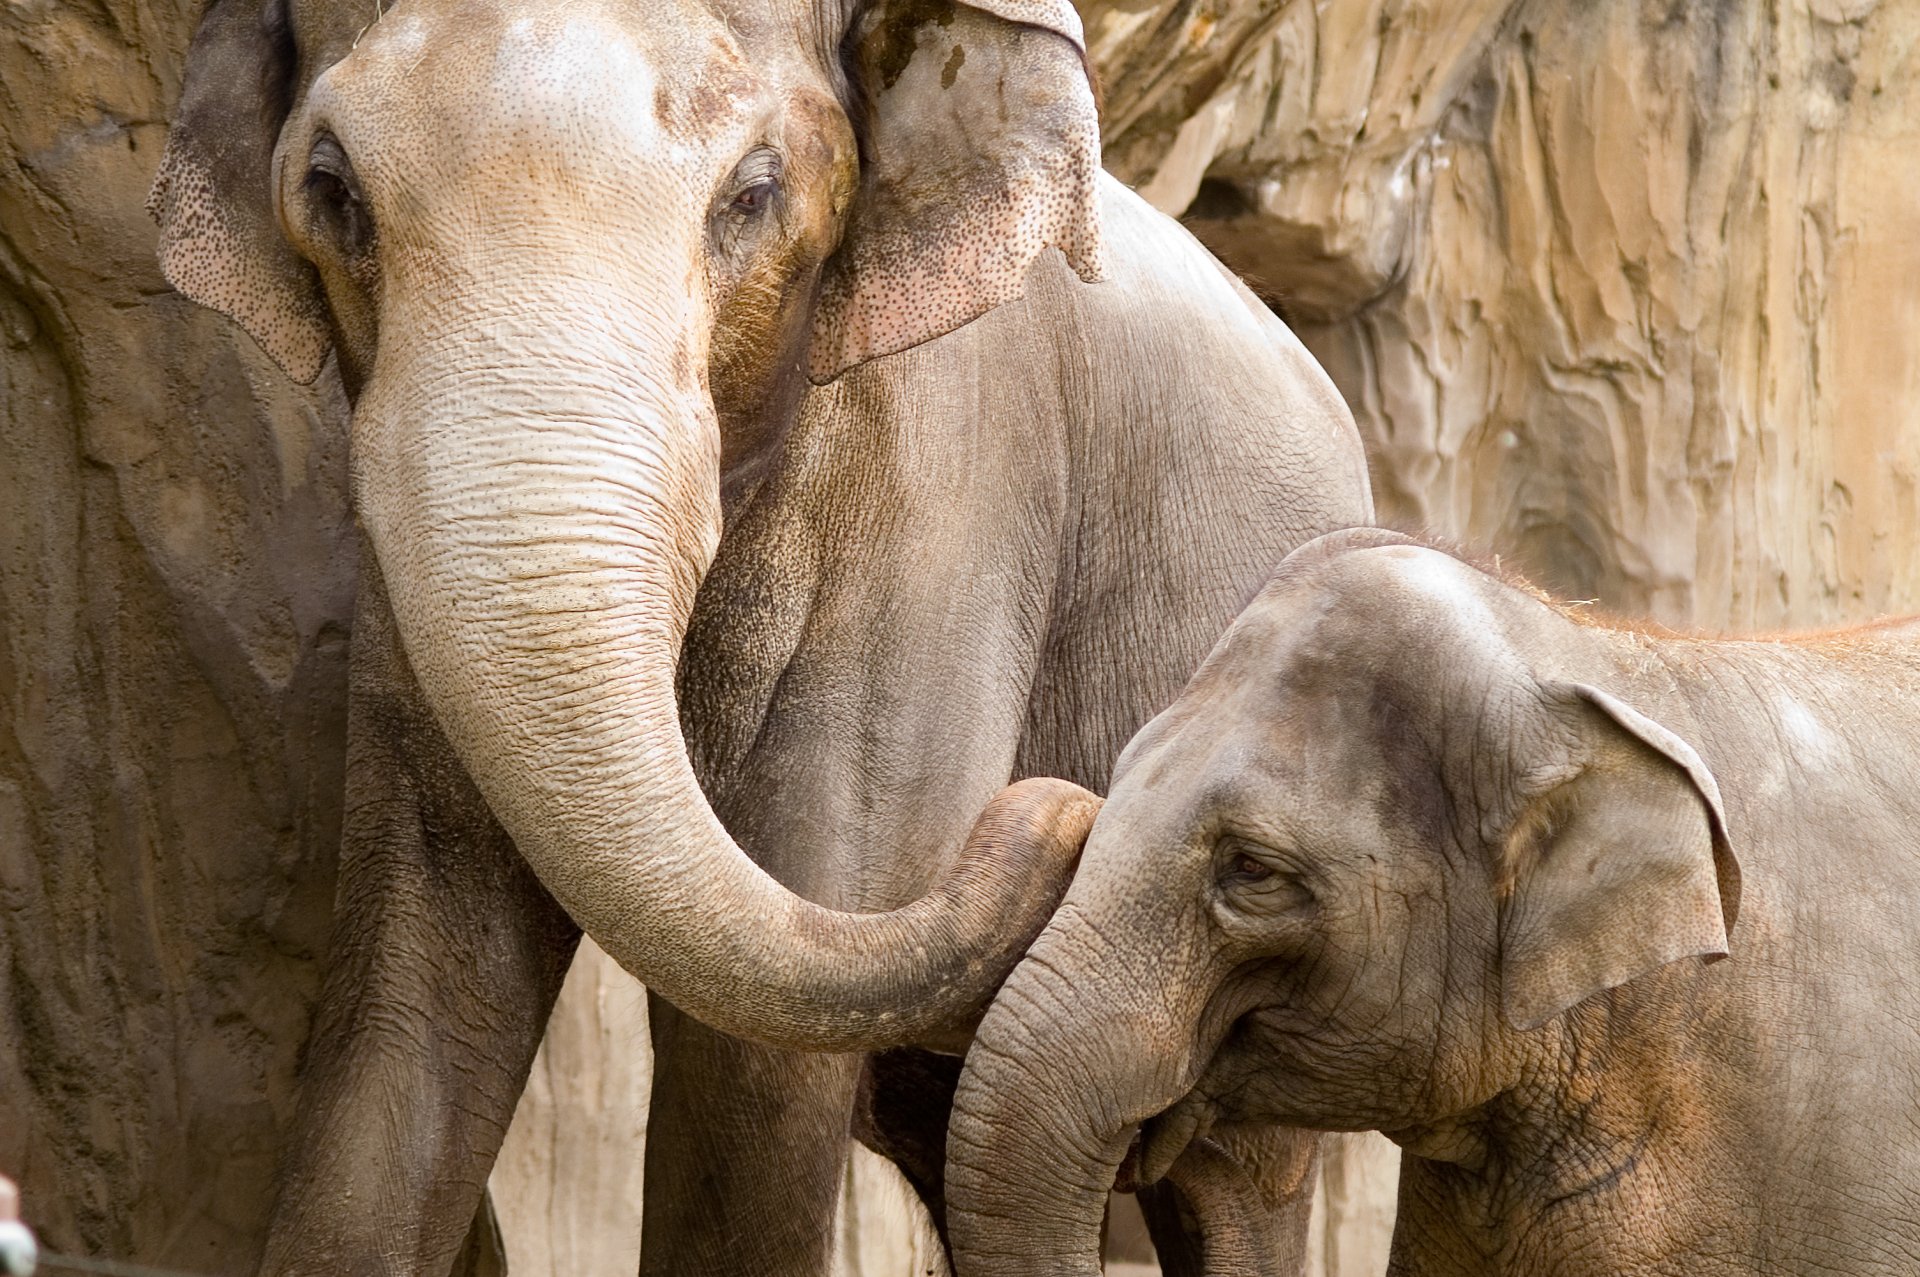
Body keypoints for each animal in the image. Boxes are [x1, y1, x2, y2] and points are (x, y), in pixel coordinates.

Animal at [146, 0, 1375, 1271]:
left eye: (754, 191)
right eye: (333, 188)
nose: (1069, 811)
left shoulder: (945, 493)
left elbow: (757, 1061)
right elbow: (418, 975)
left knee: (1237, 1186)